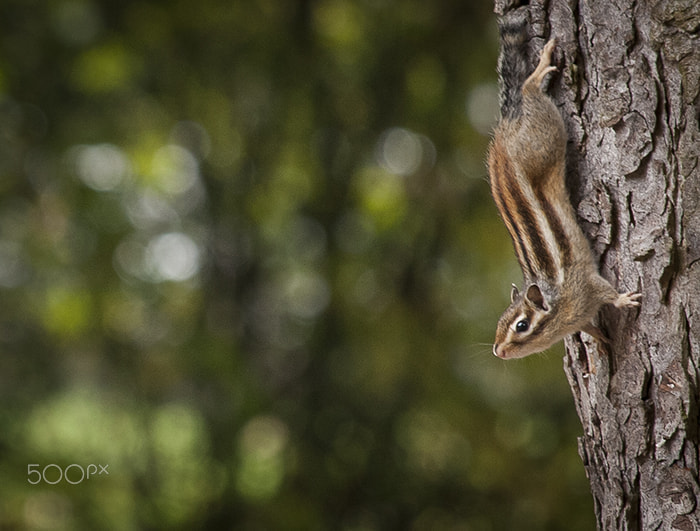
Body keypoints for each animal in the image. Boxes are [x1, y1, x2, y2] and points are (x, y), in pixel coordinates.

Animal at [488, 17, 641, 360]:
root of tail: (506, 129)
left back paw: (538, 73)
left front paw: (623, 300)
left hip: (546, 134)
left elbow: (606, 291)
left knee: (529, 92)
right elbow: (589, 326)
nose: (498, 351)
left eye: (521, 325)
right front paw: (600, 339)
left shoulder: (585, 286)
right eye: (500, 322)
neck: (558, 308)